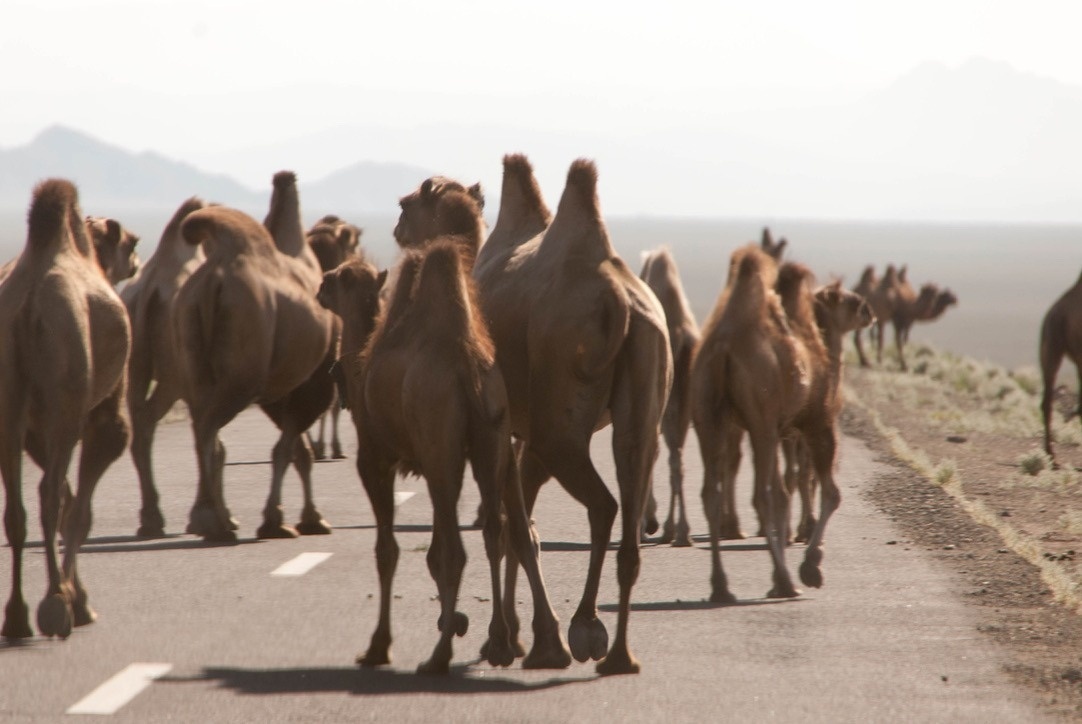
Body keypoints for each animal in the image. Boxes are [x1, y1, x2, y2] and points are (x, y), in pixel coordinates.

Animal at [0, 179, 131, 639]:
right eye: (131, 243)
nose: (136, 258)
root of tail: (26, 308)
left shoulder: (33, 427)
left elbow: (73, 503)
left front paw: (76, 597)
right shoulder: (105, 415)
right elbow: (79, 511)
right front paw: (82, 603)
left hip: (9, 400)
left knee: (16, 508)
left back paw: (16, 617)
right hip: (68, 387)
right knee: (49, 493)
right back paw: (54, 606)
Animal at [119, 197, 208, 538]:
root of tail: (150, 292)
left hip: (141, 366)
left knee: (141, 426)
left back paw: (151, 519)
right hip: (182, 373)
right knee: (200, 433)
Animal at [172, 171, 336, 541]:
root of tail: (214, 280)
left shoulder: (280, 390)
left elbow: (297, 451)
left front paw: (301, 518)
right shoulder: (309, 384)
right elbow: (288, 450)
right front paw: (285, 520)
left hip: (195, 358)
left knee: (204, 430)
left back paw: (213, 519)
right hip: (243, 373)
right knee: (208, 430)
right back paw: (212, 521)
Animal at [339, 181, 570, 673]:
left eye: (406, 205)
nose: (397, 226)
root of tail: (466, 367)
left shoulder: (379, 455)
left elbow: (392, 550)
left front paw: (381, 645)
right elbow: (511, 534)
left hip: (441, 451)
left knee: (457, 548)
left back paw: (441, 655)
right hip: (486, 442)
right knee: (502, 533)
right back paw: (525, 643)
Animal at [401, 155, 669, 676]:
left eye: (406, 204)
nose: (398, 228)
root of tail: (618, 300)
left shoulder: (503, 428)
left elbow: (512, 528)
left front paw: (515, 641)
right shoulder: (519, 435)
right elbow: (519, 528)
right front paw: (523, 638)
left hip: (558, 414)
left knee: (602, 504)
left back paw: (586, 629)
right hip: (642, 379)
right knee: (629, 495)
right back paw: (618, 655)